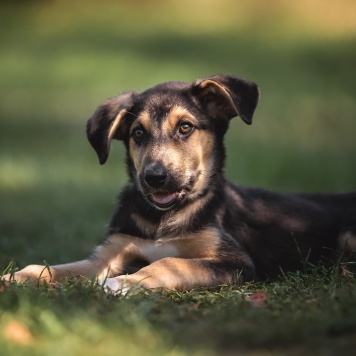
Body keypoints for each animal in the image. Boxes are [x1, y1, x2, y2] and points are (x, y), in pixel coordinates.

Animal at [3, 73, 356, 294]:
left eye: (185, 127)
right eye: (138, 133)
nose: (154, 177)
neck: (164, 218)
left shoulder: (237, 263)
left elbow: (171, 262)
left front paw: (126, 283)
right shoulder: (108, 254)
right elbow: (48, 267)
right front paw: (15, 276)